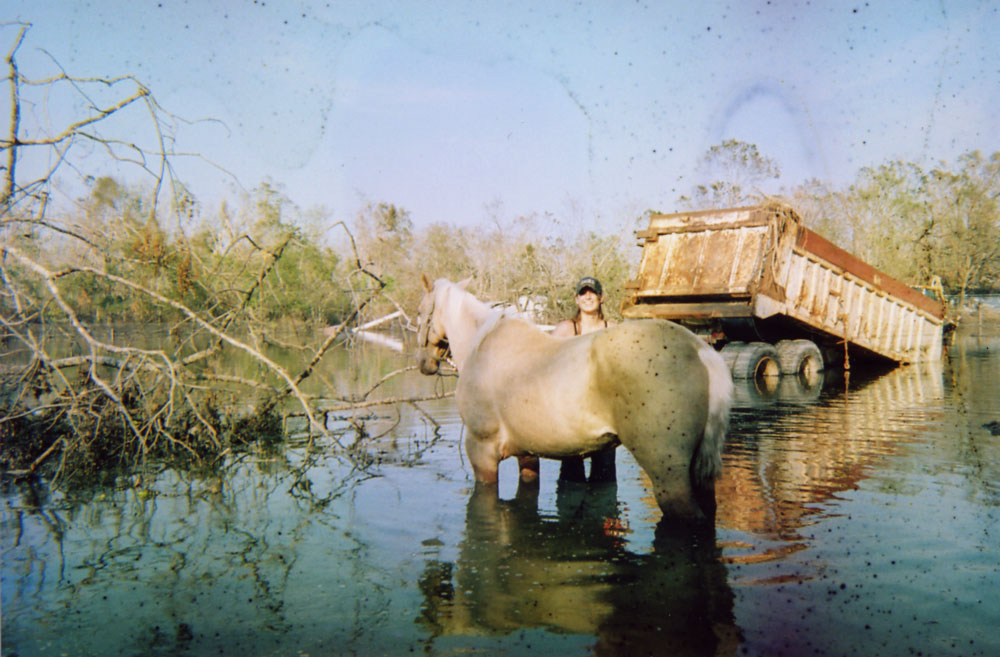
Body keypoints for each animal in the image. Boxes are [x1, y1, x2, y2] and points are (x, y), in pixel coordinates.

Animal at [414, 274, 736, 520]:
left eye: (419, 312)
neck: (482, 345)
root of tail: (699, 349)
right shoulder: (527, 453)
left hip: (669, 476)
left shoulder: (481, 452)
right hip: (700, 474)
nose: (424, 363)